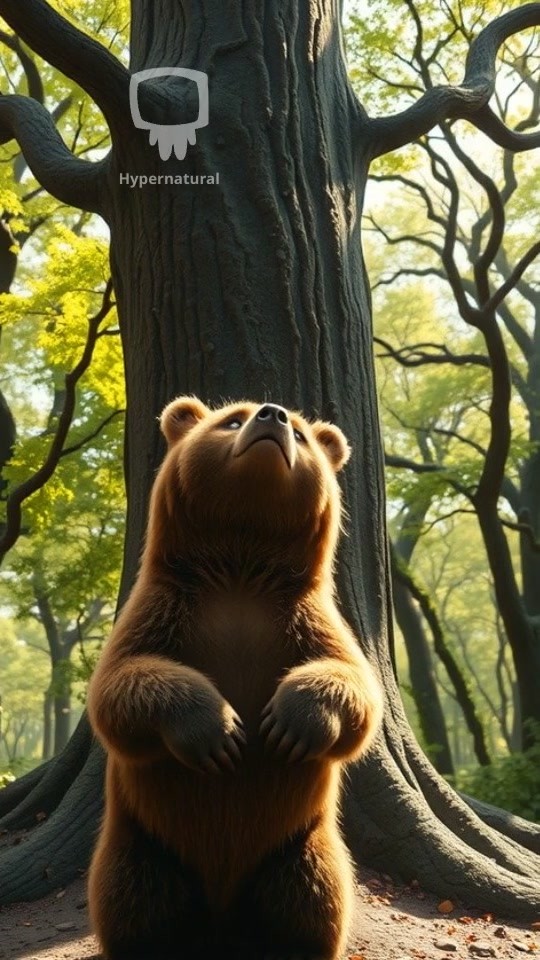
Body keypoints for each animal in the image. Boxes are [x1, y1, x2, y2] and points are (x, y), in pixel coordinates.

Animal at [87, 396, 383, 960]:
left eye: (303, 434)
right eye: (232, 419)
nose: (273, 415)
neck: (239, 568)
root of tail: (221, 921)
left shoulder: (305, 622)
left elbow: (354, 685)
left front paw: (288, 724)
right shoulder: (164, 613)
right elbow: (121, 685)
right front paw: (219, 732)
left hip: (296, 846)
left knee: (313, 898)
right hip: (145, 842)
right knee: (133, 900)